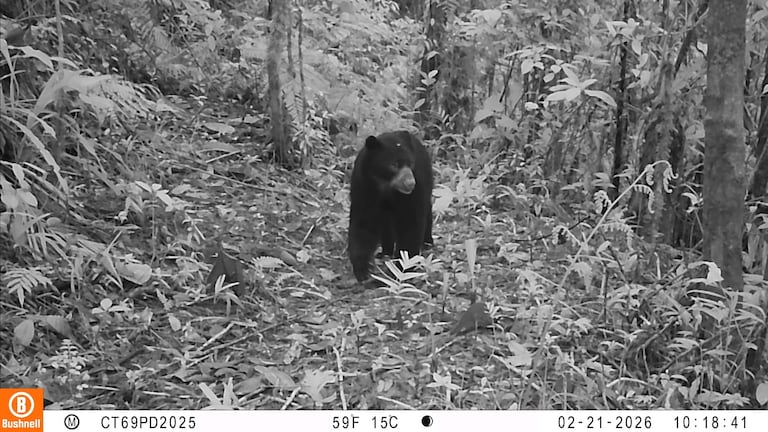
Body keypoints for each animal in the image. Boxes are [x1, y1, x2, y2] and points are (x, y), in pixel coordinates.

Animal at [348, 131, 433, 282]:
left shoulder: (414, 192)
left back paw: (427, 243)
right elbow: (363, 223)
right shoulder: (363, 186)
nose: (410, 183)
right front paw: (363, 270)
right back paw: (385, 252)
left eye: (411, 163)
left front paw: (401, 268)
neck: (385, 186)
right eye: (394, 164)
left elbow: (411, 222)